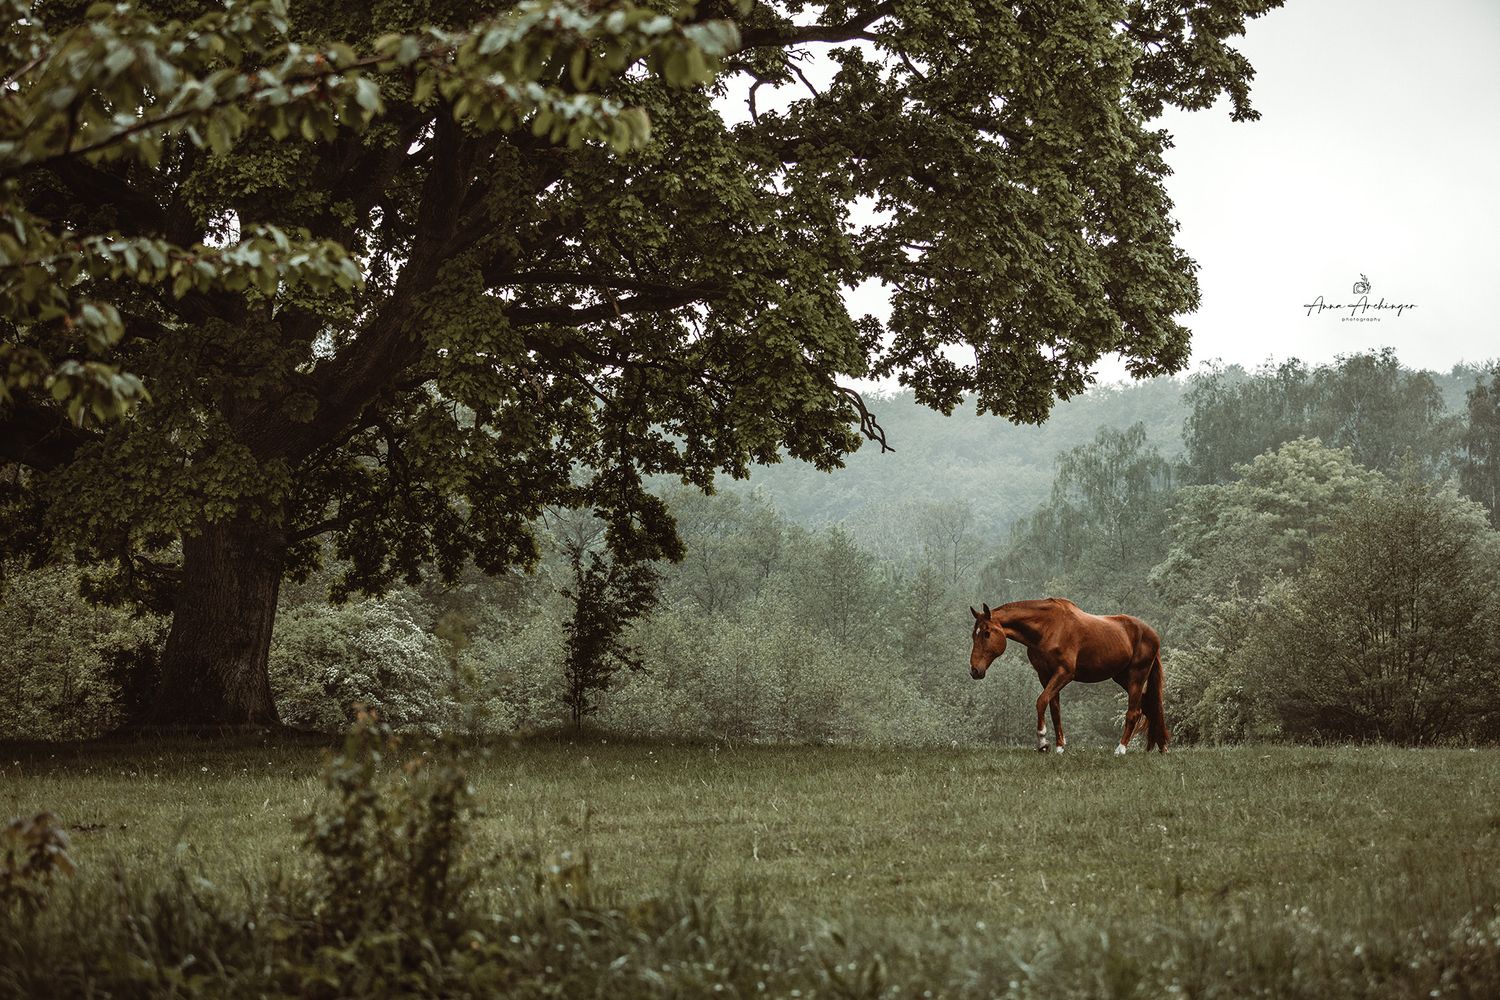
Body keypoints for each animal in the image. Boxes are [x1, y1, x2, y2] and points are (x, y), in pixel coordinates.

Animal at [968, 597, 1168, 754]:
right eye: (974, 634)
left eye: (986, 633)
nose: (975, 670)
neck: (1048, 628)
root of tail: (1152, 634)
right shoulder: (1045, 675)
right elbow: (1054, 710)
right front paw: (1059, 747)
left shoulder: (1064, 673)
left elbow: (1041, 701)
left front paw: (1043, 743)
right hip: (1122, 677)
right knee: (1150, 706)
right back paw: (1162, 747)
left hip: (1136, 677)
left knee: (1134, 712)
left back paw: (1121, 749)